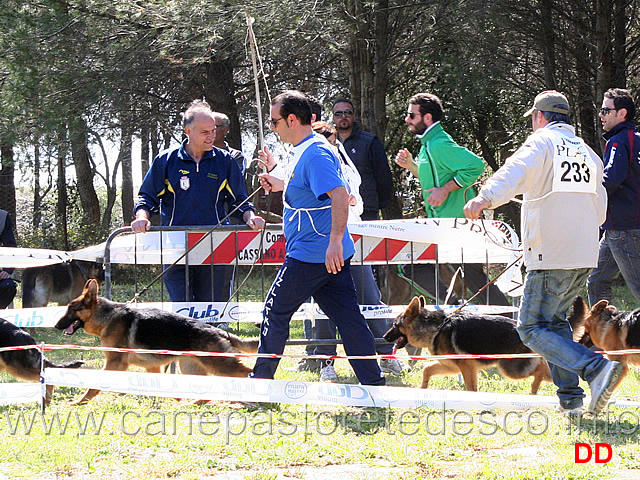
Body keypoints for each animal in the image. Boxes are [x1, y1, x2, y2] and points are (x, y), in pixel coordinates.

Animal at [55, 278, 258, 404]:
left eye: (71, 309)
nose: (56, 325)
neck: (107, 317)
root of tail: (218, 330)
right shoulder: (152, 367)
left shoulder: (115, 363)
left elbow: (94, 386)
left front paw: (79, 402)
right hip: (190, 367)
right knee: (207, 392)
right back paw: (190, 404)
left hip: (219, 365)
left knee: (247, 373)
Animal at [382, 296, 552, 394]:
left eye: (395, 325)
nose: (384, 337)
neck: (437, 328)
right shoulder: (451, 366)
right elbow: (427, 369)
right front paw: (423, 389)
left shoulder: (466, 367)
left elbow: (470, 388)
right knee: (547, 370)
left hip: (510, 368)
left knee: (541, 369)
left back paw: (534, 388)